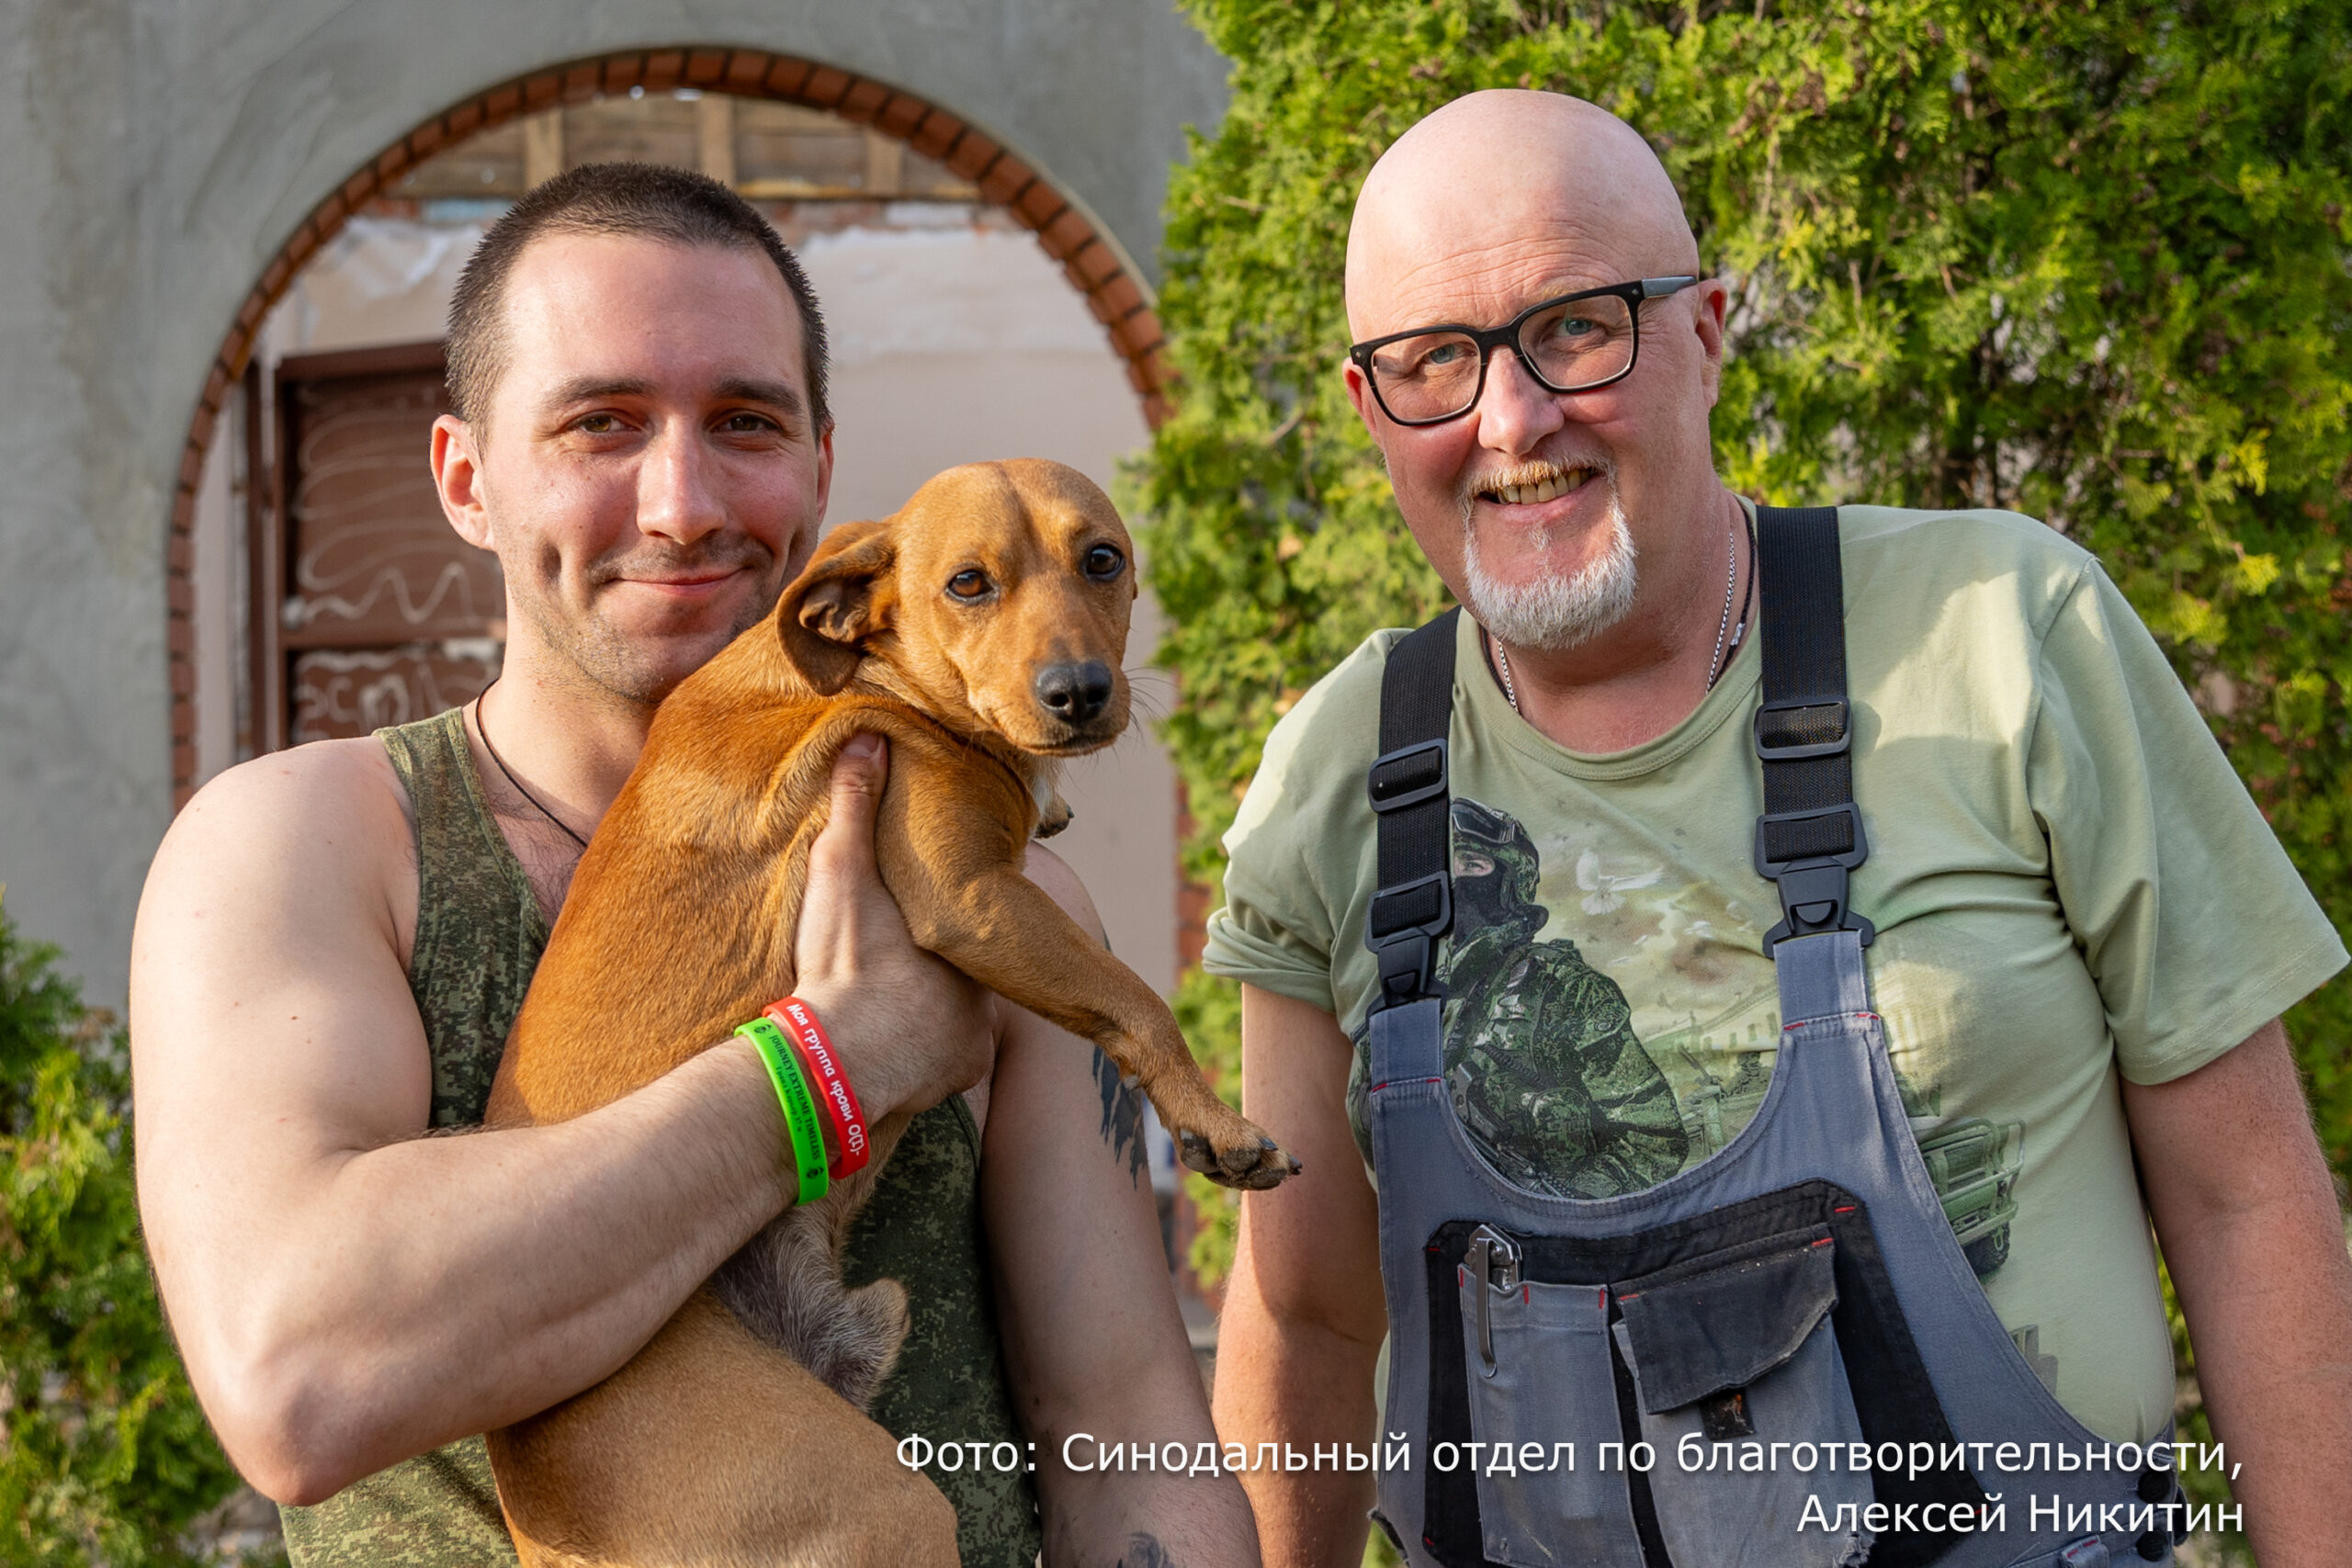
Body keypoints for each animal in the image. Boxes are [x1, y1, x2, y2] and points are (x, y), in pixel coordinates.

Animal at [472, 460, 1288, 1561]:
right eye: (968, 583)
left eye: (1102, 560)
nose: (1079, 692)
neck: (870, 670)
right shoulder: (970, 897)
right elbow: (1138, 1001)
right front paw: (1215, 1122)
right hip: (880, 1505)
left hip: (873, 1330)